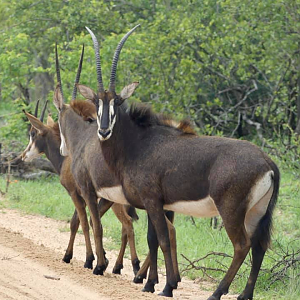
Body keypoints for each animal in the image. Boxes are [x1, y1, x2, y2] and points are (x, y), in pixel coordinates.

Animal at [21, 96, 142, 276]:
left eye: (33, 133)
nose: (23, 156)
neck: (65, 158)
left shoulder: (75, 193)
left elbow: (78, 223)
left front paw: (77, 257)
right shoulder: (87, 196)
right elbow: (84, 222)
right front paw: (102, 258)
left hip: (114, 202)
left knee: (127, 224)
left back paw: (133, 266)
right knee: (126, 226)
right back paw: (120, 266)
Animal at [72, 26, 278, 300]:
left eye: (118, 102)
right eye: (97, 102)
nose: (104, 130)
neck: (138, 143)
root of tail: (268, 162)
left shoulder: (152, 201)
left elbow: (162, 239)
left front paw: (167, 286)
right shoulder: (153, 204)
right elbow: (153, 239)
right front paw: (150, 283)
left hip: (231, 210)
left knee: (242, 245)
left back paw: (217, 292)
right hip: (257, 211)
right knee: (259, 246)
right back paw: (245, 295)